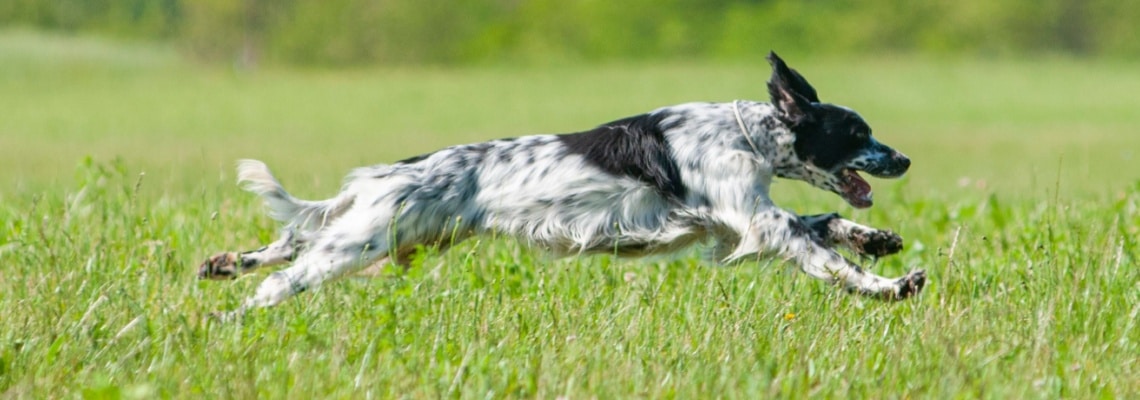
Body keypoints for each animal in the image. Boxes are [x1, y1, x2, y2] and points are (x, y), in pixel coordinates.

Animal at [198, 51, 925, 321]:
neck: (745, 135)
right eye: (856, 130)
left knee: (286, 242)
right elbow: (829, 259)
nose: (905, 159)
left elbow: (828, 226)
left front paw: (879, 240)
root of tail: (391, 172)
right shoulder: (756, 221)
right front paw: (891, 285)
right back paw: (231, 317)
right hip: (361, 240)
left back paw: (224, 264)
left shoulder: (734, 224)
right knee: (281, 277)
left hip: (370, 231)